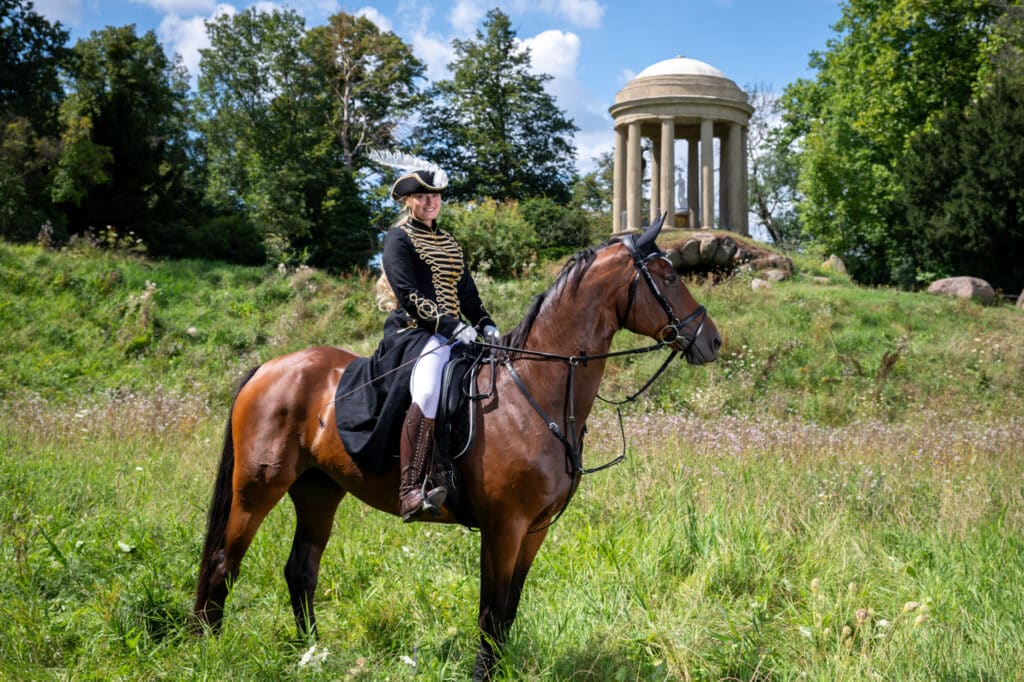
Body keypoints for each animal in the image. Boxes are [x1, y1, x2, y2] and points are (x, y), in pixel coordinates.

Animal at [192, 216, 720, 675]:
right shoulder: (504, 525)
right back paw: (208, 649)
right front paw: (484, 674)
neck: (535, 389)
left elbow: (509, 610)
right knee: (223, 564)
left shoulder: (535, 528)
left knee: (301, 571)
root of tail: (268, 368)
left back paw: (312, 655)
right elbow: (490, 612)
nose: (712, 341)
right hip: (257, 488)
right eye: (668, 277)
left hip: (318, 490)